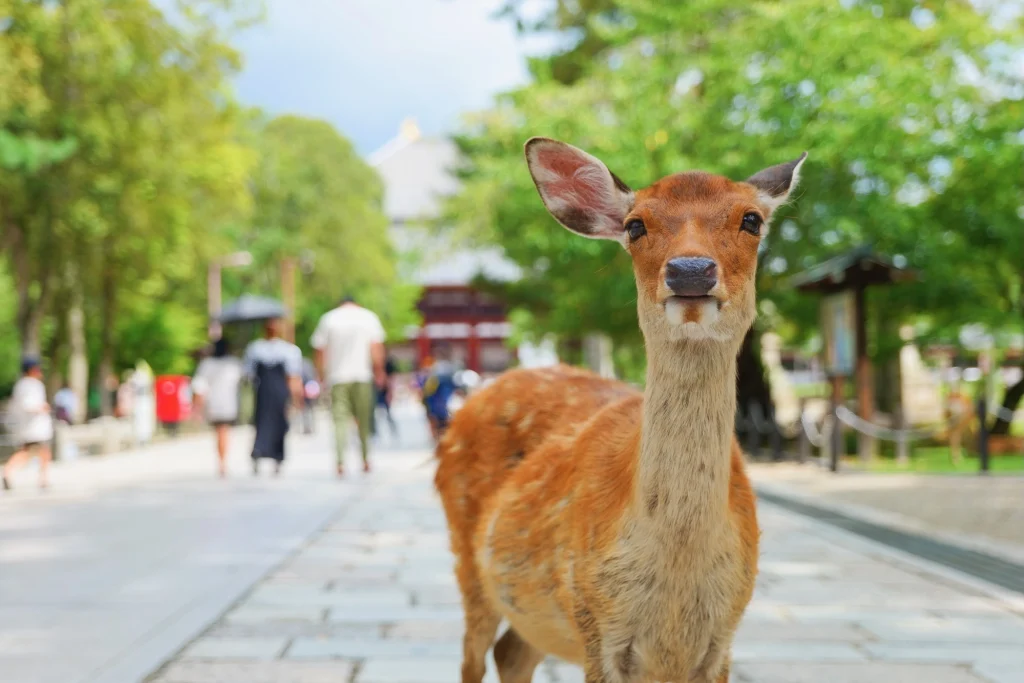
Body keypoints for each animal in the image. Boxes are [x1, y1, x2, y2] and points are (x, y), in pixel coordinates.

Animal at [434, 135, 806, 683]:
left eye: (752, 219)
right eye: (635, 225)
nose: (690, 270)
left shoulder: (724, 637)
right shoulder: (596, 624)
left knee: (512, 652)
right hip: (468, 559)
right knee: (473, 657)